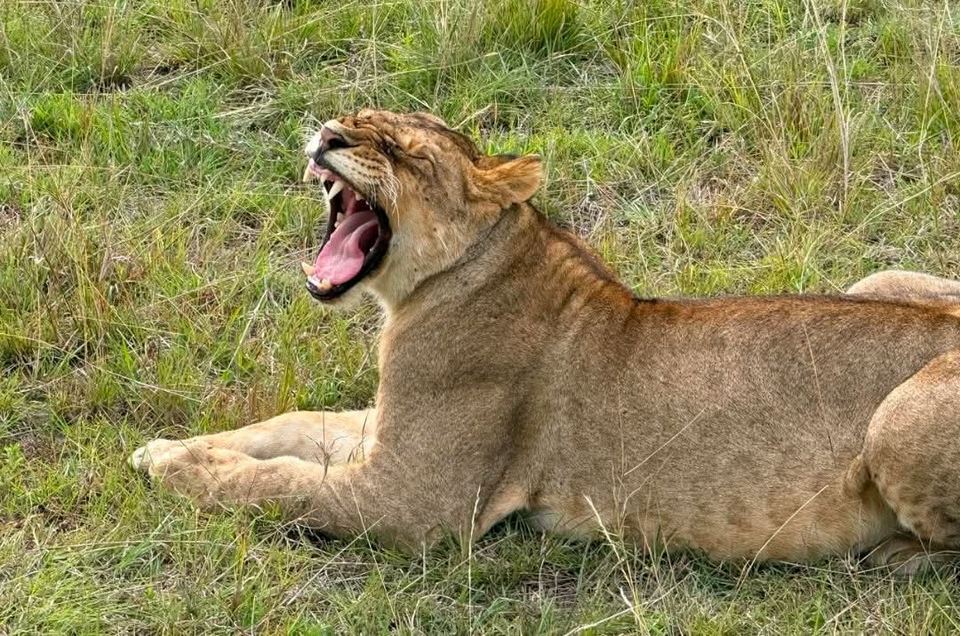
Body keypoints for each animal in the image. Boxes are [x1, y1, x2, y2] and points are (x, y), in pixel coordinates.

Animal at [132, 109, 960, 574]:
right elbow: (295, 427)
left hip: (896, 420)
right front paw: (166, 446)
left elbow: (282, 486)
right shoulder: (391, 430)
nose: (328, 136)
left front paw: (176, 468)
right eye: (352, 118)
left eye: (400, 151)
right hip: (879, 278)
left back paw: (893, 556)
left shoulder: (415, 501)